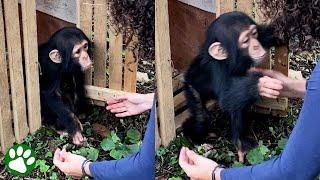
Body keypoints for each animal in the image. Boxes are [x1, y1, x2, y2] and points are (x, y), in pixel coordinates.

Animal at [182, 11, 280, 162]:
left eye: (254, 34)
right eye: (246, 41)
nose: (256, 46)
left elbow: (267, 34)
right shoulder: (218, 69)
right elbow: (225, 97)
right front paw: (262, 84)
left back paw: (239, 143)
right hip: (191, 88)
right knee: (201, 117)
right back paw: (195, 137)